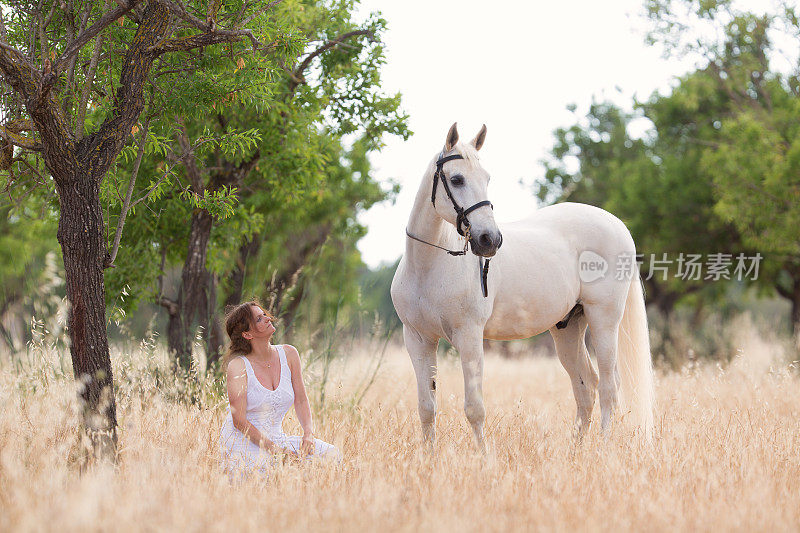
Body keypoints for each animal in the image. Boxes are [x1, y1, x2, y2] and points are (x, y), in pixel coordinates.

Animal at [390, 123, 656, 448]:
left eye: (487, 178)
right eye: (456, 179)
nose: (490, 240)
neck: (428, 266)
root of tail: (618, 225)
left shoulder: (469, 337)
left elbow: (474, 408)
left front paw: (483, 456)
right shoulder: (418, 339)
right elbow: (427, 408)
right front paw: (429, 458)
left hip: (604, 321)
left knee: (609, 387)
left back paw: (602, 448)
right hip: (568, 328)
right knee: (586, 386)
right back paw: (577, 451)